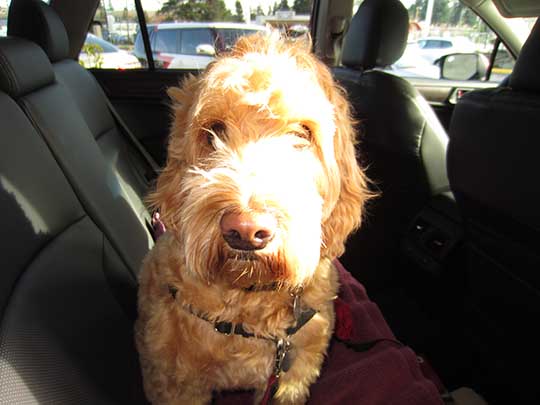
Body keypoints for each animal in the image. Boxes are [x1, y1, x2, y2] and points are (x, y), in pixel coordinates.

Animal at [135, 33, 372, 402]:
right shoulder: (179, 385)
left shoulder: (293, 375)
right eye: (213, 130)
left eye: (302, 133)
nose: (245, 230)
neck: (248, 299)